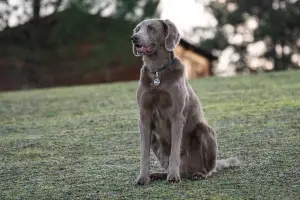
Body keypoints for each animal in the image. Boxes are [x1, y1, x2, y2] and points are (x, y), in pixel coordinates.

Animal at [131, 18, 239, 186]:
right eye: (137, 29)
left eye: (151, 28)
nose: (134, 38)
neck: (157, 72)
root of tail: (188, 171)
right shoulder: (144, 117)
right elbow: (144, 153)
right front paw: (143, 178)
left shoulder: (176, 116)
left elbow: (175, 150)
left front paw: (173, 177)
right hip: (155, 138)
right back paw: (159, 174)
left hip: (204, 130)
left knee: (210, 169)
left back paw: (198, 174)